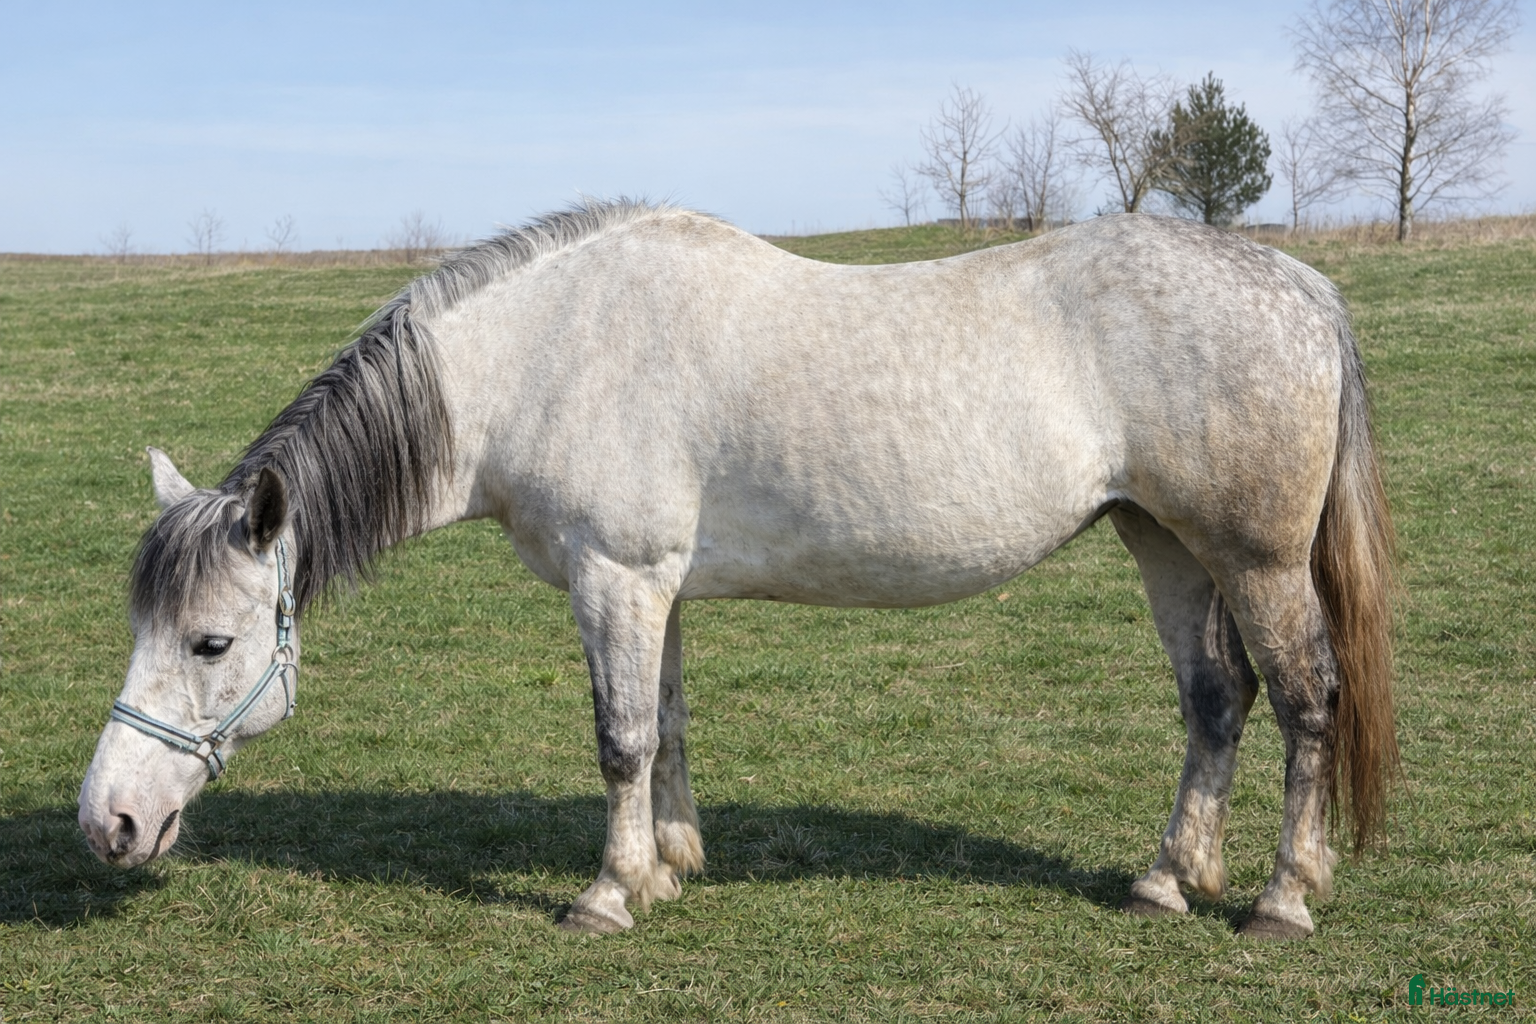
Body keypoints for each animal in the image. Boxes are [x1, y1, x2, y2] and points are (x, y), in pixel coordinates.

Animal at [79, 200, 1398, 940]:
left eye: (210, 641)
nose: (109, 822)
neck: (544, 353)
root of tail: (1301, 285)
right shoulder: (651, 587)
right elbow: (665, 724)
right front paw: (669, 867)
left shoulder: (616, 578)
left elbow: (619, 737)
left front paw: (607, 896)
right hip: (1165, 543)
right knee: (1217, 702)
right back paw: (1168, 880)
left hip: (1256, 558)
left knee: (1305, 700)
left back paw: (1282, 897)